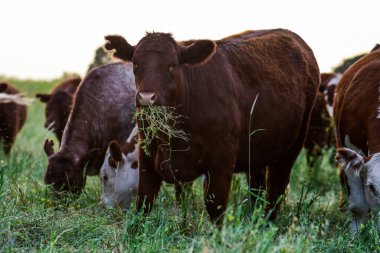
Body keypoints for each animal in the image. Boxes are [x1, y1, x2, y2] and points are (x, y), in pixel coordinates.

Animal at [104, 28, 320, 221]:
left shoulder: (221, 159)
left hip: (293, 145)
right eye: (135, 63)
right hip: (257, 151)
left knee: (276, 188)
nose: (146, 97)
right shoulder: (147, 153)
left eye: (173, 65)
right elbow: (144, 202)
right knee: (257, 188)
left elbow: (215, 205)